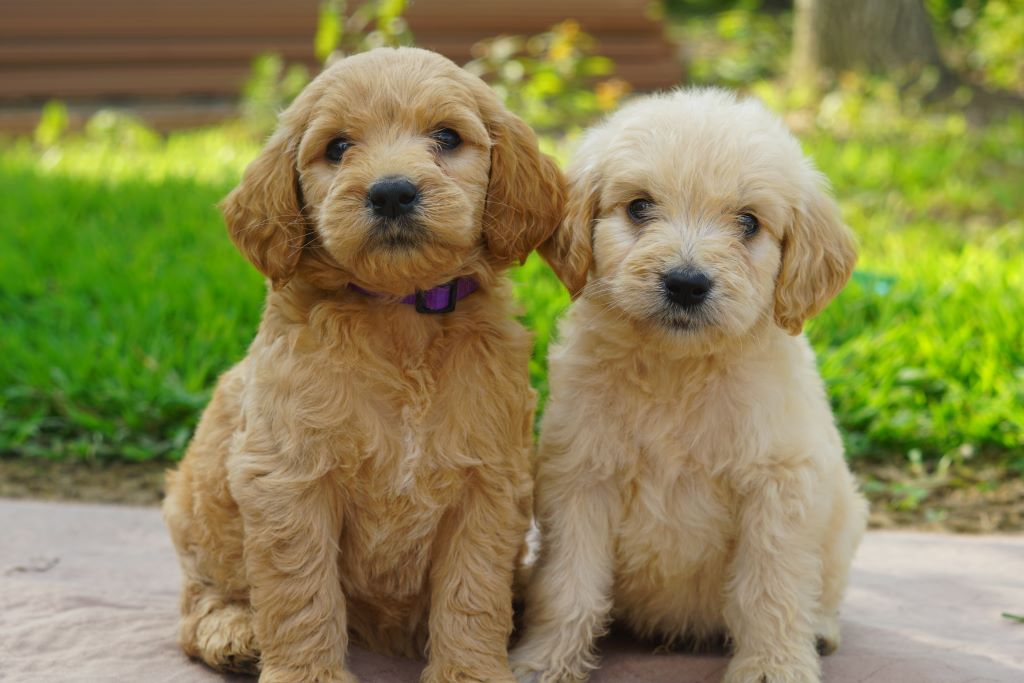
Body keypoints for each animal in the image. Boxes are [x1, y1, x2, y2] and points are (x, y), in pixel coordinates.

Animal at [160, 48, 565, 683]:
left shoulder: (489, 481)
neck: (400, 315)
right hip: (200, 513)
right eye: (338, 147)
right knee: (200, 596)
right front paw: (305, 675)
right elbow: (300, 593)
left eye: (447, 137)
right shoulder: (289, 478)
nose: (393, 192)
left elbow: (473, 592)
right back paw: (233, 630)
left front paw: (468, 671)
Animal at [516, 88, 868, 679]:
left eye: (748, 222)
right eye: (639, 207)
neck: (677, 369)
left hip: (844, 518)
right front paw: (544, 661)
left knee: (827, 590)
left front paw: (773, 667)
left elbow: (770, 589)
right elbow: (570, 585)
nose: (685, 283)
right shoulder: (581, 477)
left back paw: (819, 630)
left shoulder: (778, 485)